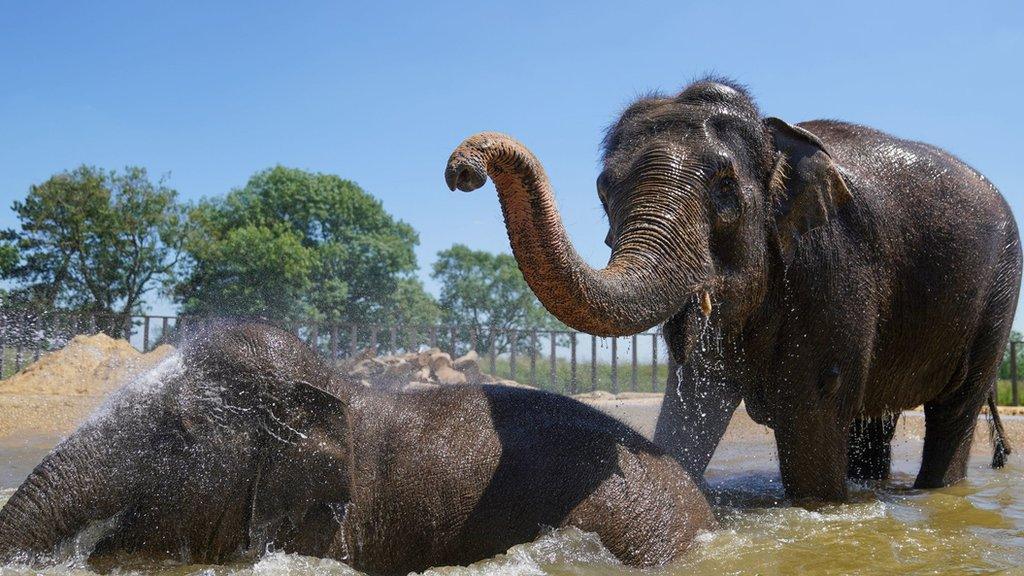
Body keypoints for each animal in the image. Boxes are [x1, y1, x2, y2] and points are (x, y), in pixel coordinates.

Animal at [448, 78, 1024, 500]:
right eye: (604, 190)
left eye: (726, 189)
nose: (462, 171)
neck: (775, 140)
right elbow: (692, 401)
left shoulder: (833, 263)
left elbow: (814, 407)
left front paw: (819, 507)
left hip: (999, 290)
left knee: (954, 409)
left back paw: (935, 491)